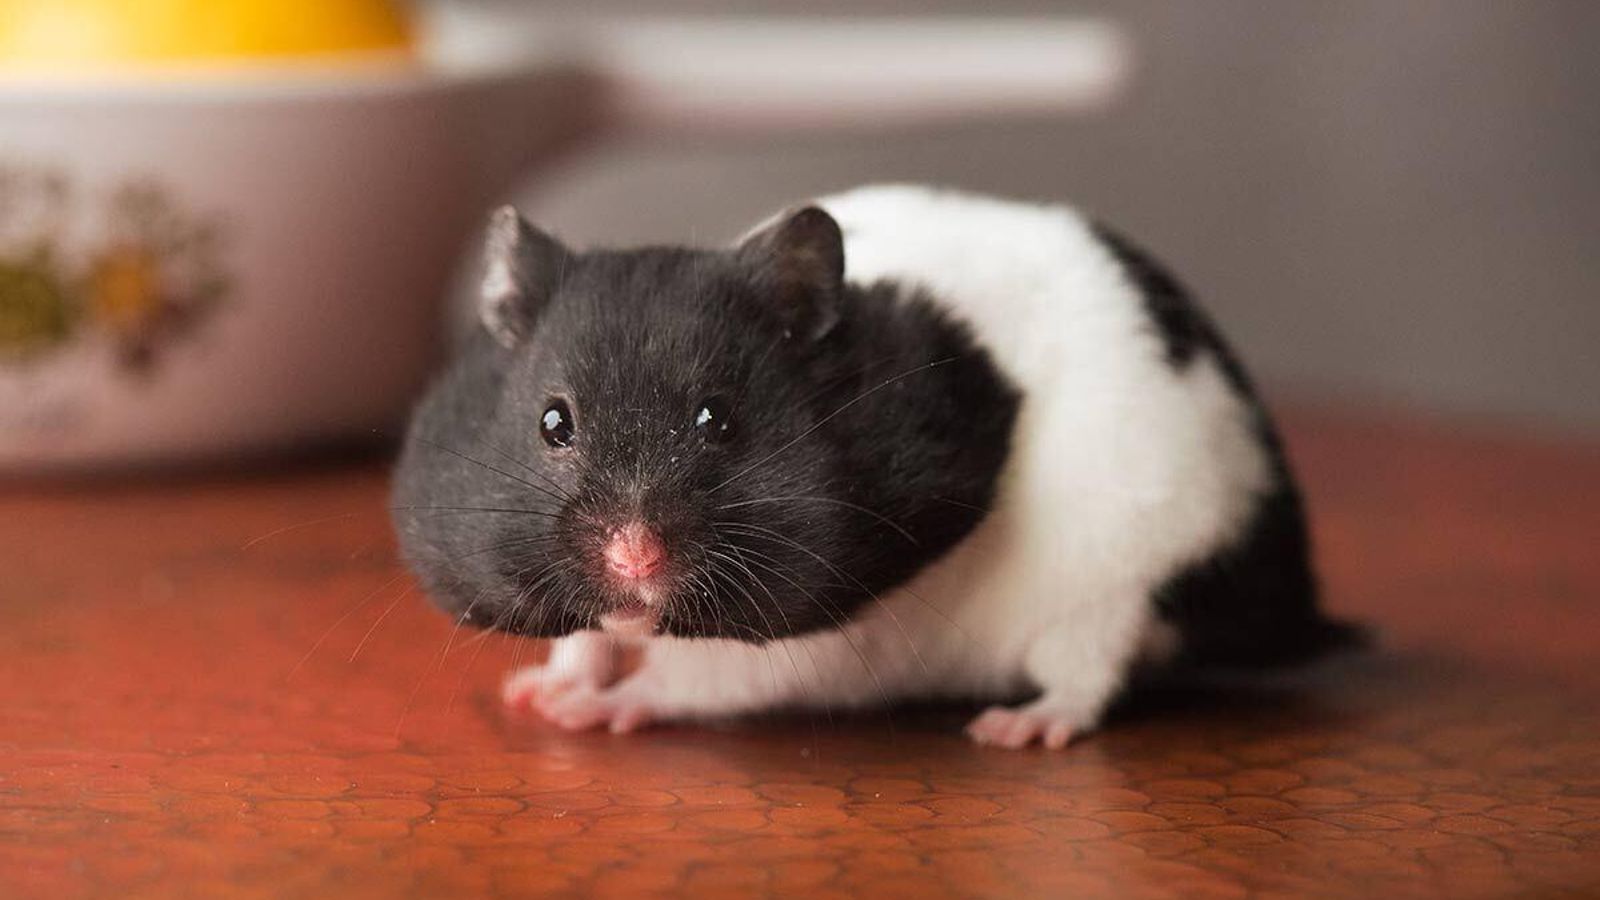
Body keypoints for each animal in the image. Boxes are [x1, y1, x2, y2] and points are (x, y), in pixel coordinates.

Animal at [392, 184, 1359, 749]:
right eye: (553, 423)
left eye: (718, 420)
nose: (635, 558)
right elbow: (587, 637)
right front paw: (535, 690)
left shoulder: (827, 631)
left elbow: (701, 676)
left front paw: (585, 711)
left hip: (1128, 569)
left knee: (1090, 673)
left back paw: (1014, 729)